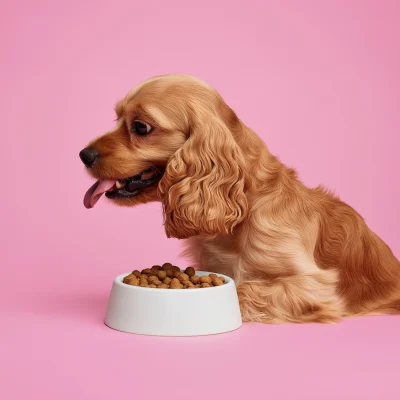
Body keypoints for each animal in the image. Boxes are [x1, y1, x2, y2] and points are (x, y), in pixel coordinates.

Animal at [79, 73, 400, 324]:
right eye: (117, 118)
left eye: (141, 127)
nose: (84, 154)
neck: (243, 209)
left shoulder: (314, 285)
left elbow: (243, 289)